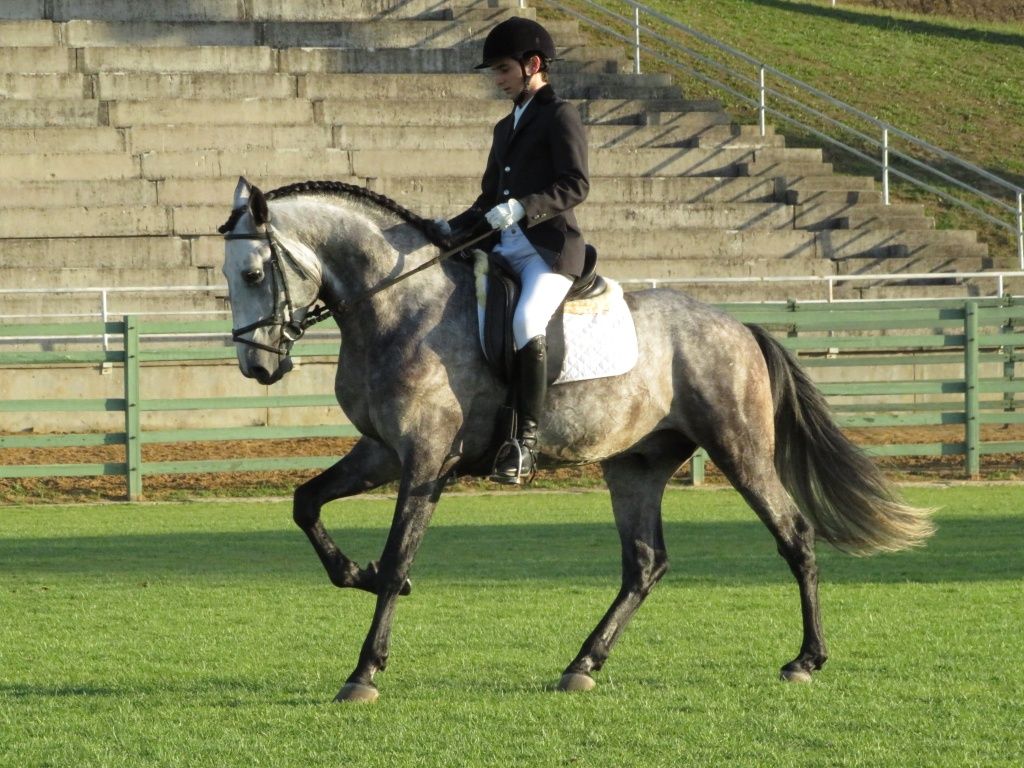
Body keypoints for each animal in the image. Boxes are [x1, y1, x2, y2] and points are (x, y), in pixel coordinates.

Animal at [220, 176, 933, 704]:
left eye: (253, 273)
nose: (257, 366)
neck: (399, 308)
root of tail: (737, 326)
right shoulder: (381, 452)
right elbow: (305, 505)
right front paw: (356, 574)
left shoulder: (424, 458)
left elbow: (400, 557)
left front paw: (365, 670)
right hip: (636, 465)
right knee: (645, 563)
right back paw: (582, 664)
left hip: (740, 450)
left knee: (794, 536)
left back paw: (805, 661)